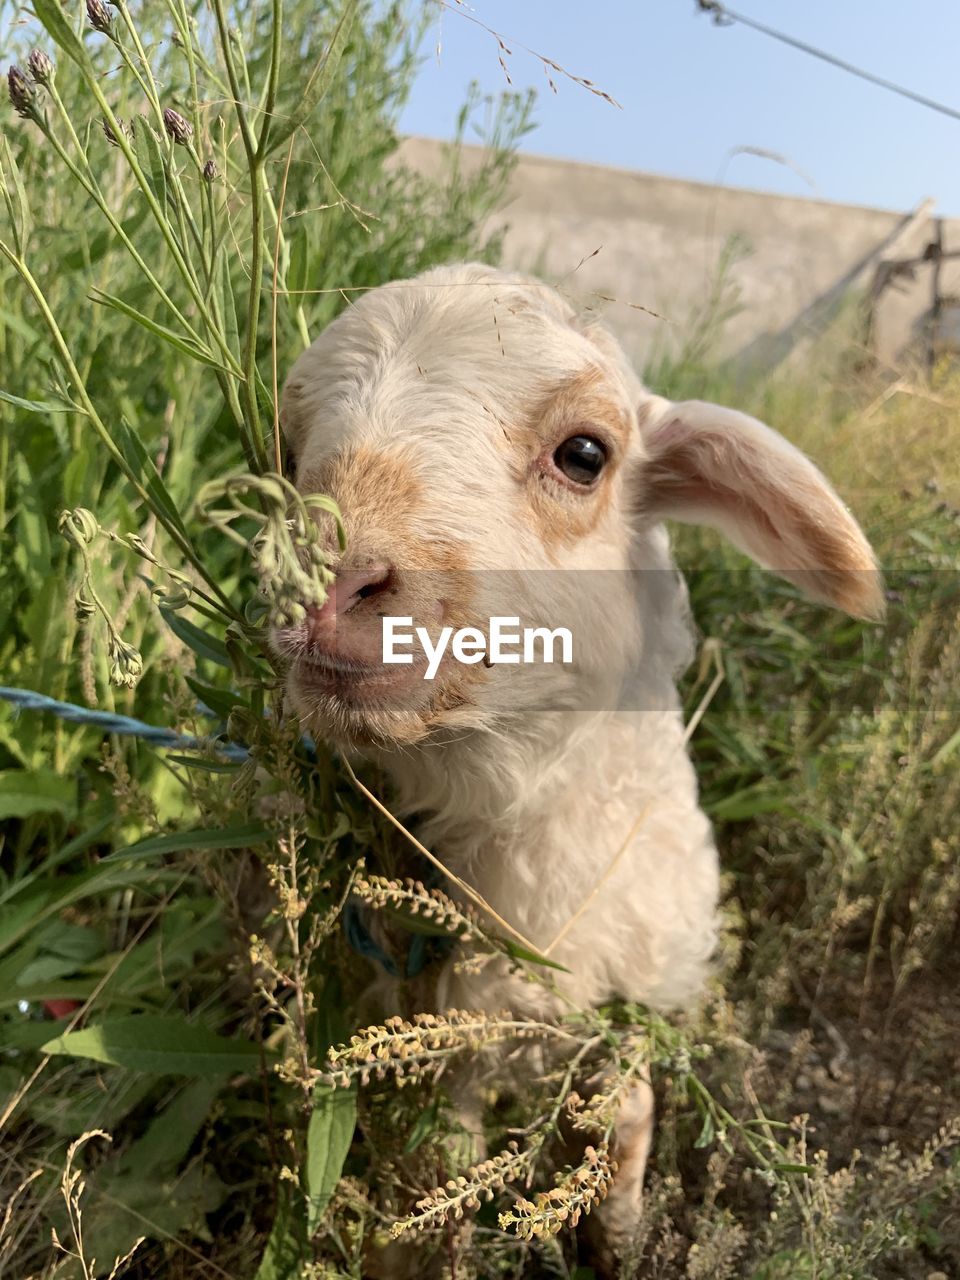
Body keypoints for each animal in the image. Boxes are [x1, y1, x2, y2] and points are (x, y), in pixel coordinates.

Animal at [272, 259, 885, 1259]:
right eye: (291, 453)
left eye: (585, 454)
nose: (325, 580)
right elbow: (445, 1155)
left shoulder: (625, 996)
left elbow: (625, 1113)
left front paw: (622, 1234)